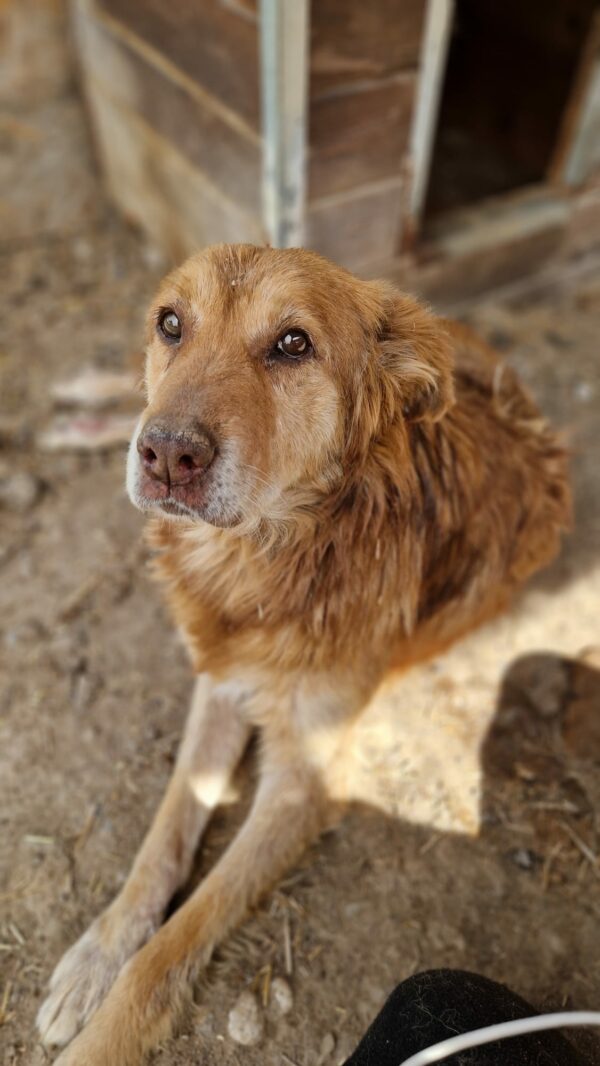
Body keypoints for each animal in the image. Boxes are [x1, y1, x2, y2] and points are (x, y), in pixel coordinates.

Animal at [37, 244, 571, 1066]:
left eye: (294, 343)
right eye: (172, 324)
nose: (165, 454)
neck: (262, 557)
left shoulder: (304, 783)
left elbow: (171, 946)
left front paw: (105, 1036)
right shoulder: (220, 683)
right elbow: (161, 841)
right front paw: (96, 954)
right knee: (129, 392)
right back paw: (87, 402)